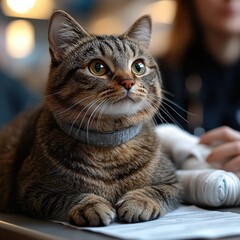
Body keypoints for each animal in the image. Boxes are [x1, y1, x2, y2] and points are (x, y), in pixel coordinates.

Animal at [0, 9, 182, 227]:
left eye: (138, 67)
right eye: (98, 67)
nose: (128, 82)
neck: (109, 147)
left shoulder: (174, 182)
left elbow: (158, 191)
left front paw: (140, 201)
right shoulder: (30, 190)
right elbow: (66, 196)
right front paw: (90, 205)